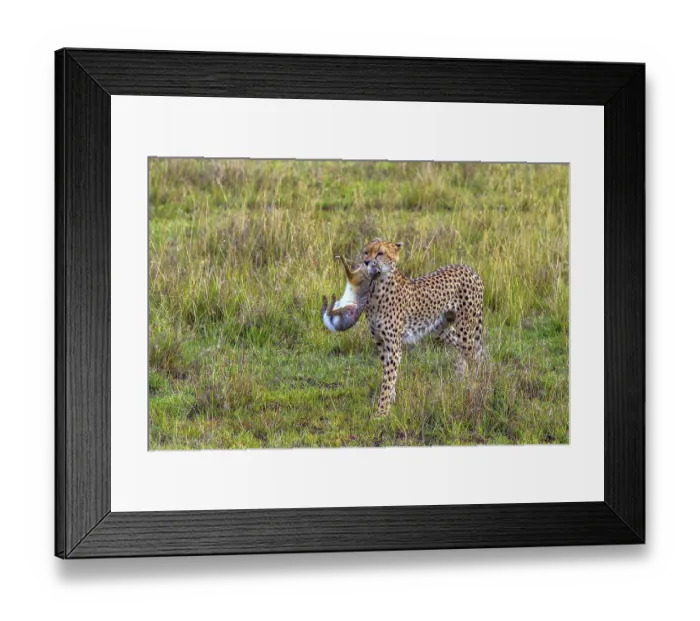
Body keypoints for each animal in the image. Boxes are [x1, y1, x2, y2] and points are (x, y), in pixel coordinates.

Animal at [361, 238, 484, 416]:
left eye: (380, 253)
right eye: (366, 252)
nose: (366, 262)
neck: (377, 287)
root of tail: (469, 269)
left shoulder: (393, 347)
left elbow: (388, 378)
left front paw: (381, 412)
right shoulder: (380, 343)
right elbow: (388, 374)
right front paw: (391, 400)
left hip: (465, 328)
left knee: (474, 358)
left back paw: (475, 386)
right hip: (440, 329)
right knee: (461, 348)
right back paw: (461, 378)